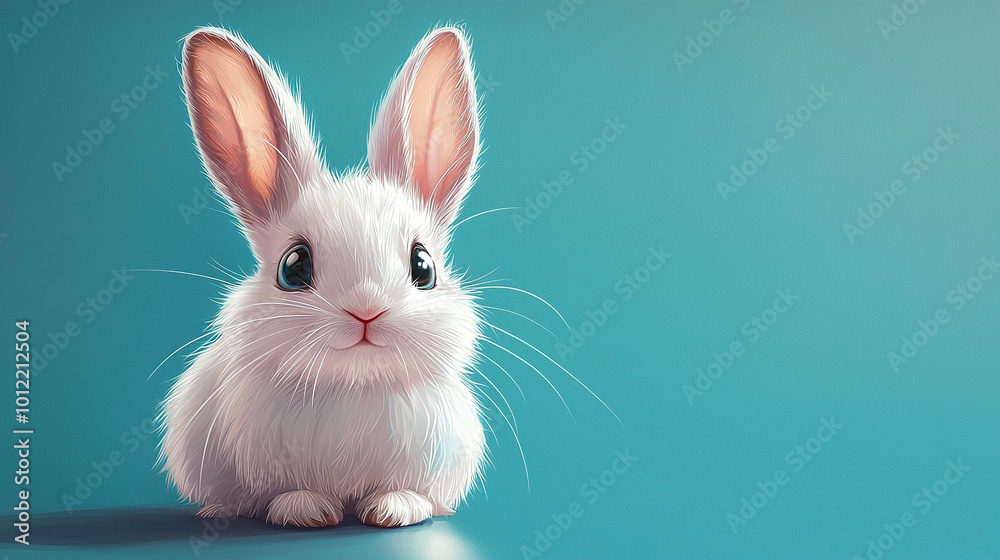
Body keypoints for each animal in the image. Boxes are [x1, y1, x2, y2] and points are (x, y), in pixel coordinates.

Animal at [158, 25, 487, 528]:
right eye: (293, 267)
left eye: (423, 267)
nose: (366, 310)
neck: (354, 383)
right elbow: (286, 493)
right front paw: (306, 510)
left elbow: (408, 492)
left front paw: (394, 509)